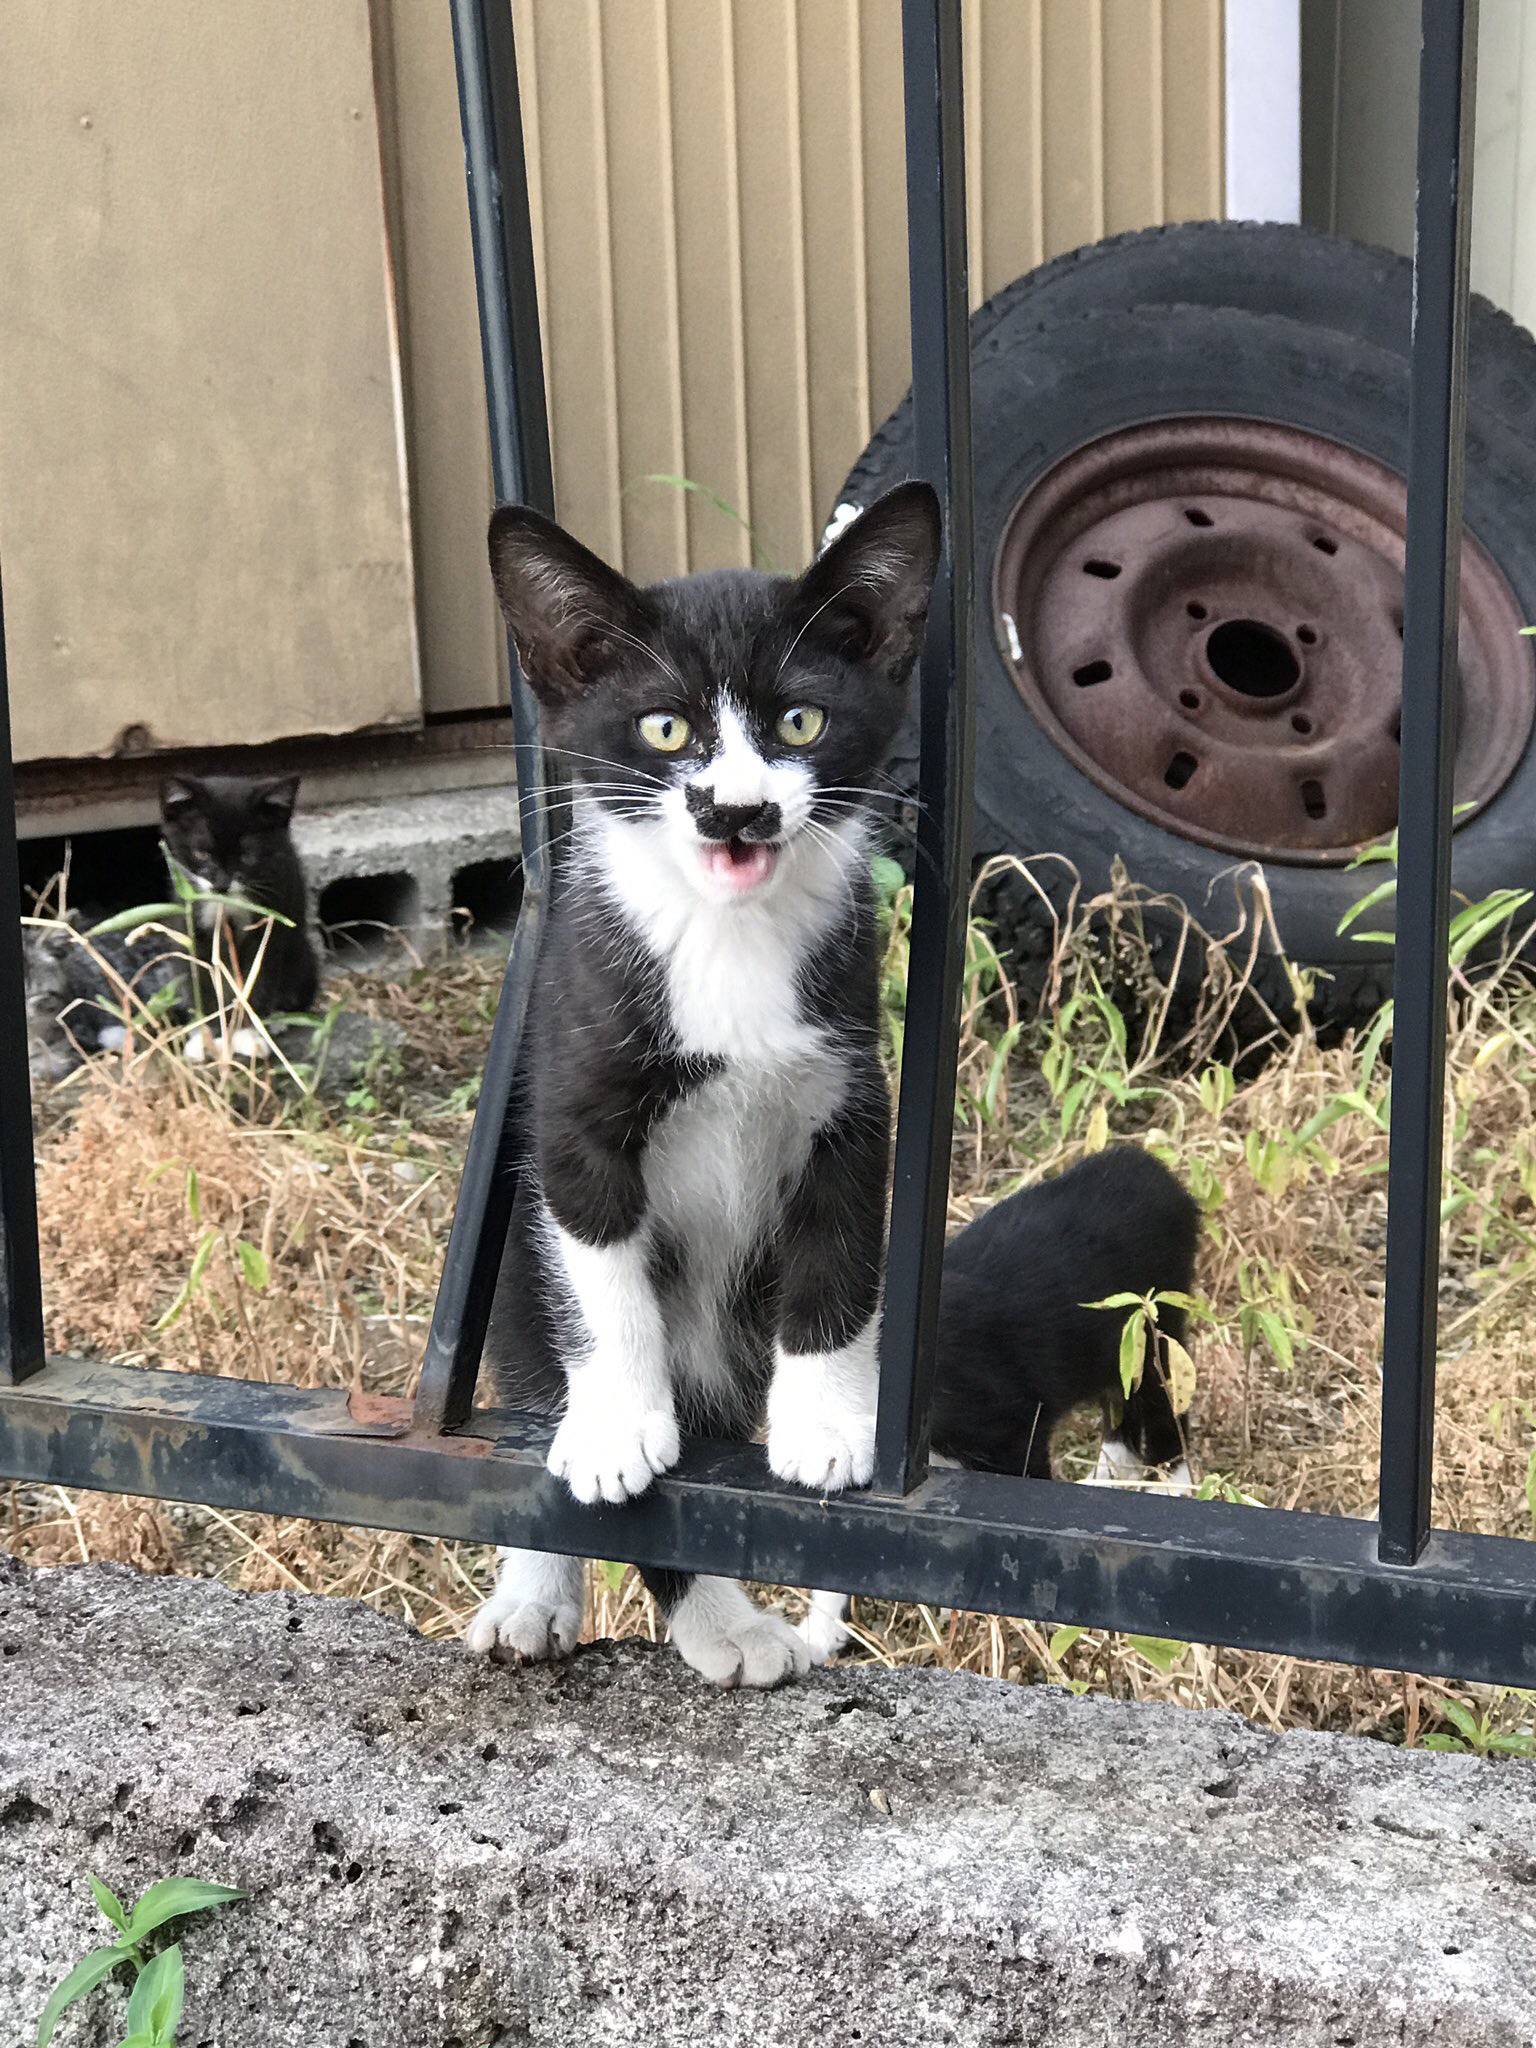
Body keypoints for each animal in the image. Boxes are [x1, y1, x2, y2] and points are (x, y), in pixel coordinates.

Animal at [159, 770, 321, 1056]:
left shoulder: (272, 918)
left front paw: (247, 1034)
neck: (227, 904)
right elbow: (202, 977)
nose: (221, 884)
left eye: (247, 856)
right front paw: (208, 1038)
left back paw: (277, 1020)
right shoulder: (191, 921)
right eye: (201, 853)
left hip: (303, 958)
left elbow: (259, 976)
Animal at [468, 483, 946, 1695]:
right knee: (534, 1367)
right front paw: (616, 1427)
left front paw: (826, 1425)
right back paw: (575, 1599)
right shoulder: (575, 1104)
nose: (736, 811)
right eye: (666, 730)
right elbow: (603, 1279)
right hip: (512, 1280)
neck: (727, 938)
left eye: (801, 725)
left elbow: (836, 1266)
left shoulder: (850, 1097)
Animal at [798, 1155, 1212, 1662]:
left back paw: (1176, 1493)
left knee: (1165, 1417)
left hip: (1149, 1334)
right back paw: (1105, 1483)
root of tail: (1147, 1166)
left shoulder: (1011, 1431)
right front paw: (816, 1633)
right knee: (1122, 1420)